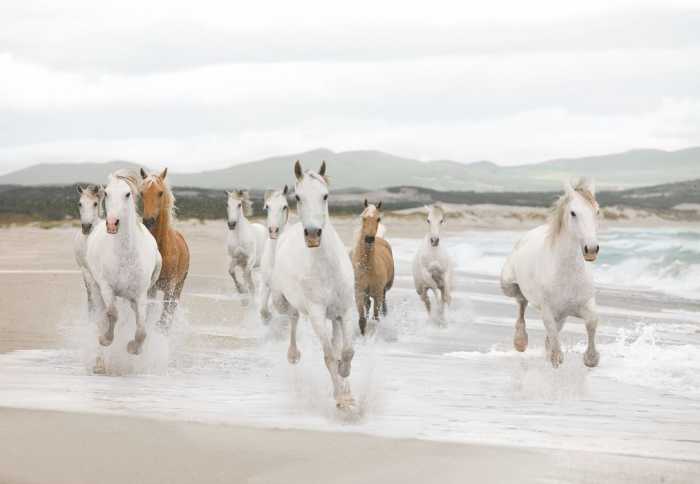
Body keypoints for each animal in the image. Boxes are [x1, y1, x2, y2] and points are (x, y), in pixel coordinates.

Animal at [86, 170, 162, 356]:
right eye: (106, 193)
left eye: (127, 194)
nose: (112, 224)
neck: (125, 255)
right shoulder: (107, 288)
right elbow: (112, 314)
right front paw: (105, 339)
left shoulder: (140, 294)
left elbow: (142, 329)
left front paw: (134, 348)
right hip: (94, 285)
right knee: (101, 312)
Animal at [140, 168, 190, 327]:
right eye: (142, 193)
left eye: (160, 192)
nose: (148, 221)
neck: (162, 249)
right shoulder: (150, 288)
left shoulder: (170, 288)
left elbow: (163, 319)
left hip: (179, 287)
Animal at [272, 160, 356, 409]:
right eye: (298, 197)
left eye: (325, 195)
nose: (312, 234)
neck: (327, 268)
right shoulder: (318, 313)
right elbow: (329, 357)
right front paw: (340, 398)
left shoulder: (346, 310)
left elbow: (346, 351)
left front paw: (346, 382)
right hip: (282, 301)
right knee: (293, 316)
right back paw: (293, 354)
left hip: (335, 316)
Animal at [351, 200, 395, 335]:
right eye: (363, 218)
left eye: (378, 218)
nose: (369, 239)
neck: (368, 269)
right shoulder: (359, 293)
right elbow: (362, 319)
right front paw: (363, 334)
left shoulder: (377, 294)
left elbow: (376, 317)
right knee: (368, 305)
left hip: (384, 289)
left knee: (383, 302)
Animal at [500, 178, 601, 368]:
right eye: (573, 213)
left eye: (597, 211)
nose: (591, 249)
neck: (567, 274)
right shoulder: (547, 310)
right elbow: (552, 331)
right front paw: (555, 357)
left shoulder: (584, 304)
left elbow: (592, 322)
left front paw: (591, 358)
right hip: (508, 286)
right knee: (521, 302)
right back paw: (520, 341)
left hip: (562, 316)